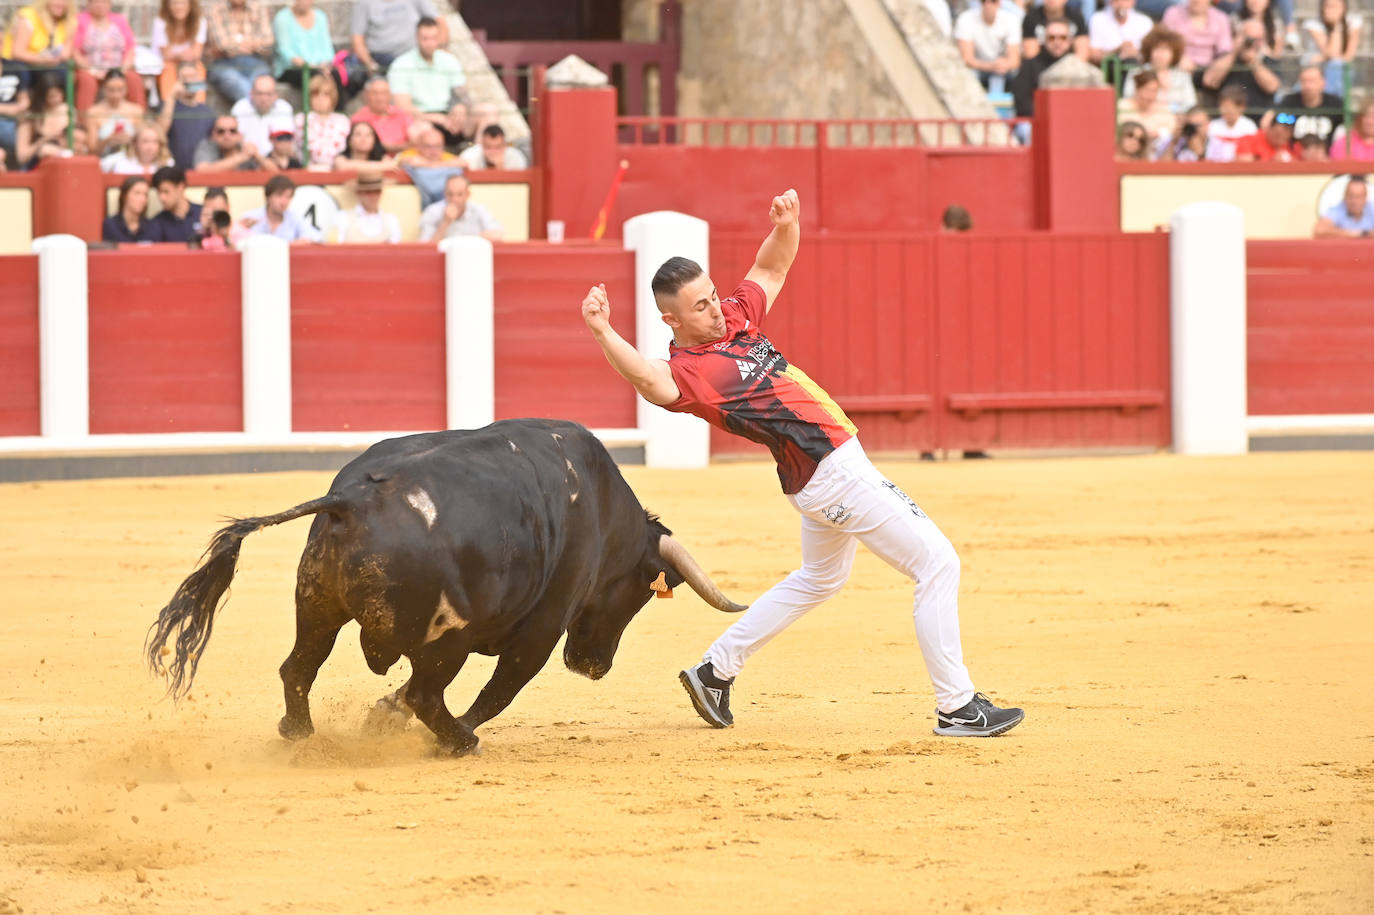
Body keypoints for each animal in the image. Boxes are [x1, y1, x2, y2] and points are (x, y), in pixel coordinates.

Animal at [144, 417, 747, 752]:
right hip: (447, 639)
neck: (601, 507)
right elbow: (500, 691)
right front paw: (413, 722)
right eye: (643, 591)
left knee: (298, 668)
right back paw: (459, 741)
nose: (593, 666)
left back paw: (300, 733)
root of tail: (353, 499)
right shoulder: (542, 629)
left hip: (315, 605)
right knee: (429, 693)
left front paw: (380, 717)